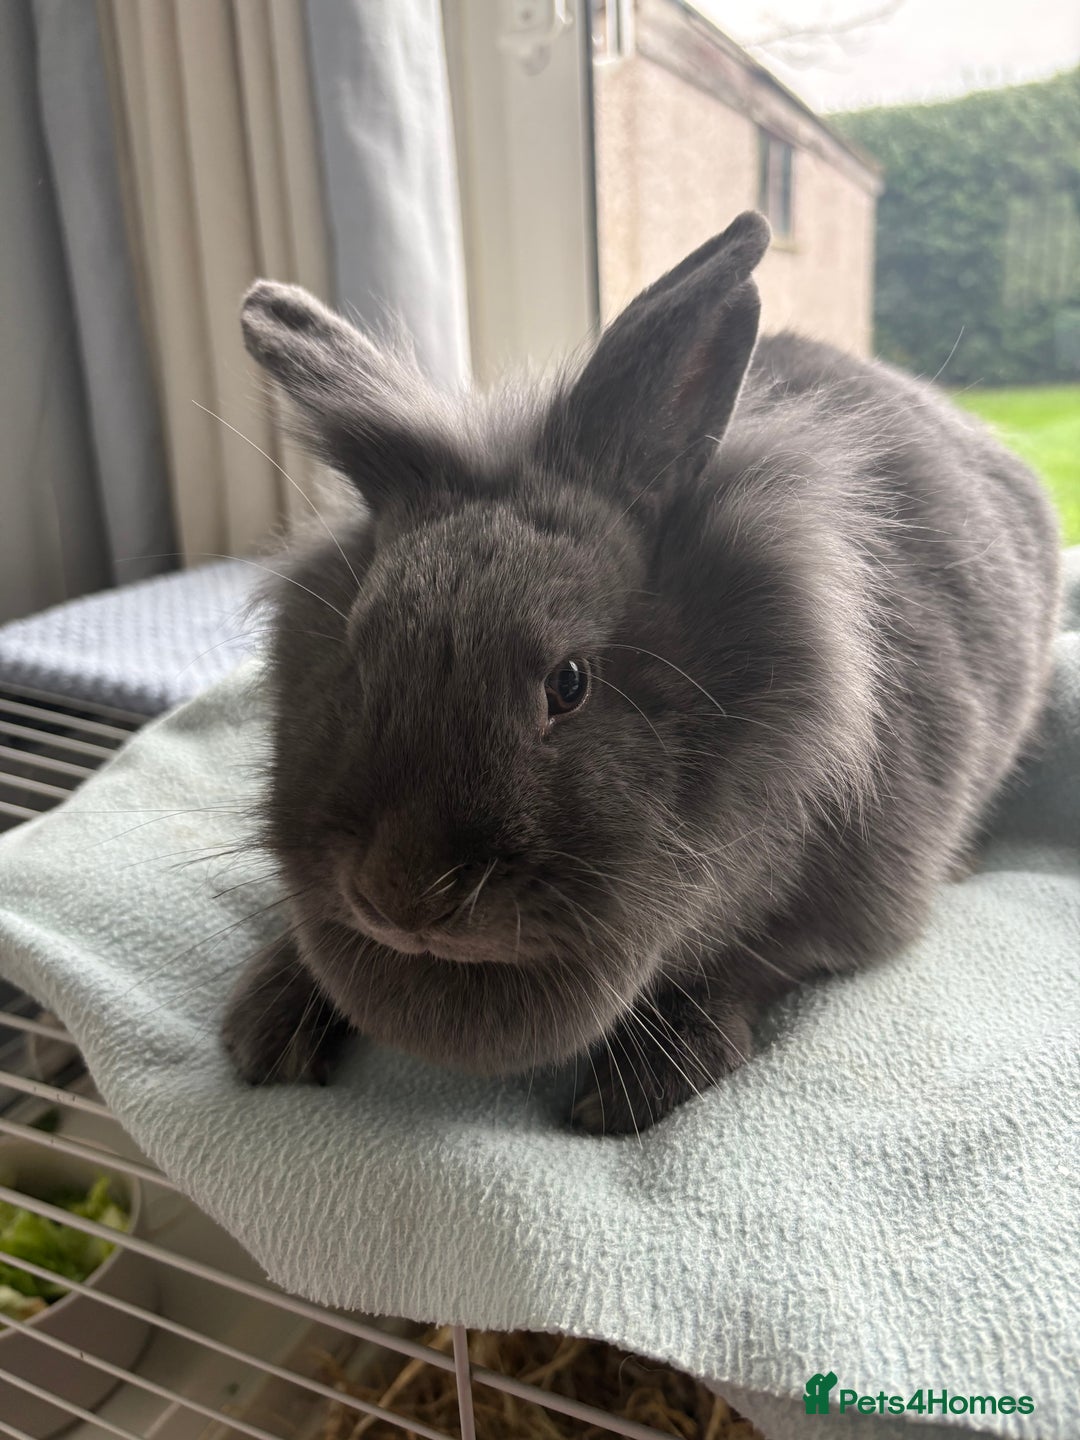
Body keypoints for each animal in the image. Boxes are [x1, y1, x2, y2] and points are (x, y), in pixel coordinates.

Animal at [221, 211, 1062, 1135]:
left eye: (570, 683)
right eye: (357, 657)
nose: (401, 899)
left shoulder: (854, 908)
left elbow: (751, 965)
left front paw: (636, 1089)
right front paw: (263, 1031)